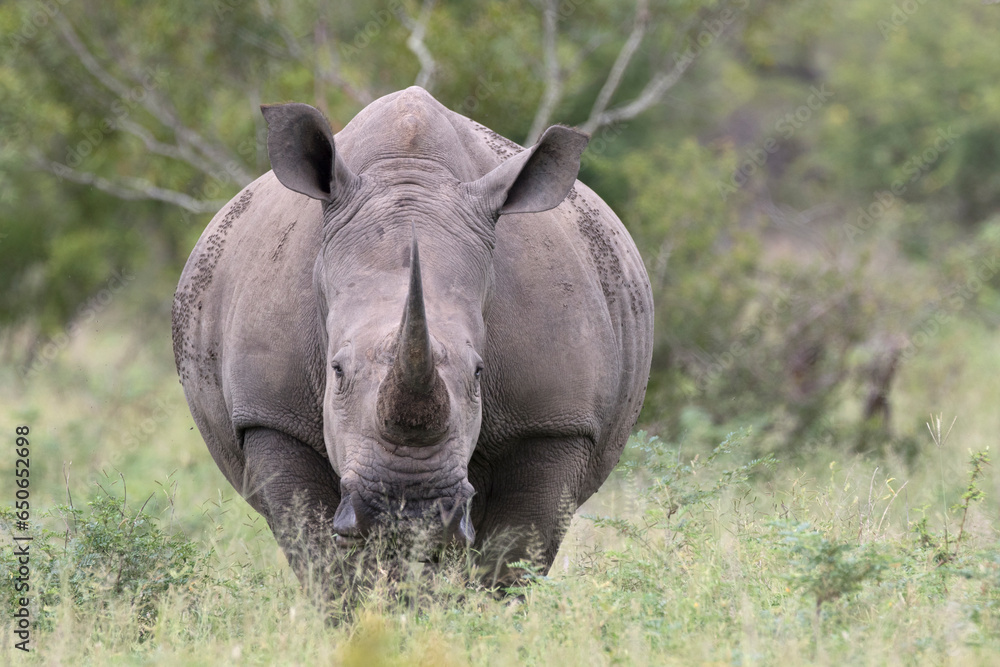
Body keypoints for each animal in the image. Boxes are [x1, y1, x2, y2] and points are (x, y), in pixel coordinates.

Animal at [172, 86, 652, 588]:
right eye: (336, 370)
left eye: (479, 373)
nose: (410, 513)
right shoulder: (269, 415)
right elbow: (322, 557)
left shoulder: (556, 423)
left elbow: (511, 558)